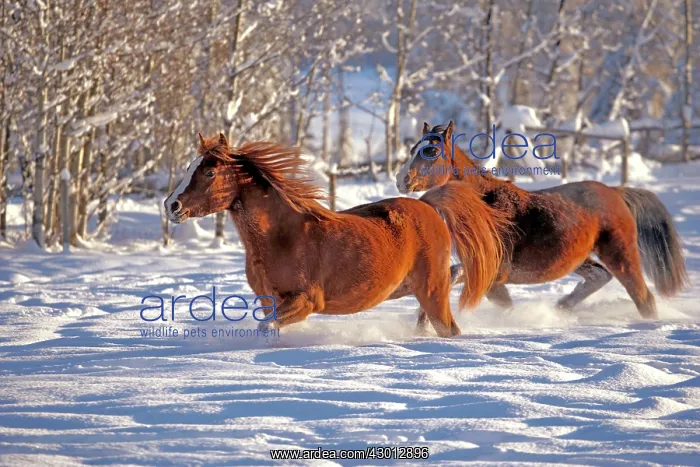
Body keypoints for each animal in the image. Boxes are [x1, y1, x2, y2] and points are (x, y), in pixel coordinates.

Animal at [164, 133, 510, 337]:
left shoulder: (307, 300)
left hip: (432, 291)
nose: (171, 205)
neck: (281, 237)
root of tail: (427, 204)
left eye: (209, 172)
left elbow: (268, 327)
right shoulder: (267, 300)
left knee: (450, 327)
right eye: (190, 167)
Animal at [396, 121, 688, 319]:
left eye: (431, 152)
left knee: (643, 297)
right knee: (599, 276)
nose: (401, 180)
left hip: (620, 253)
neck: (485, 207)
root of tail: (615, 192)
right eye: (413, 149)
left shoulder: (493, 273)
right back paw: (562, 308)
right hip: (579, 258)